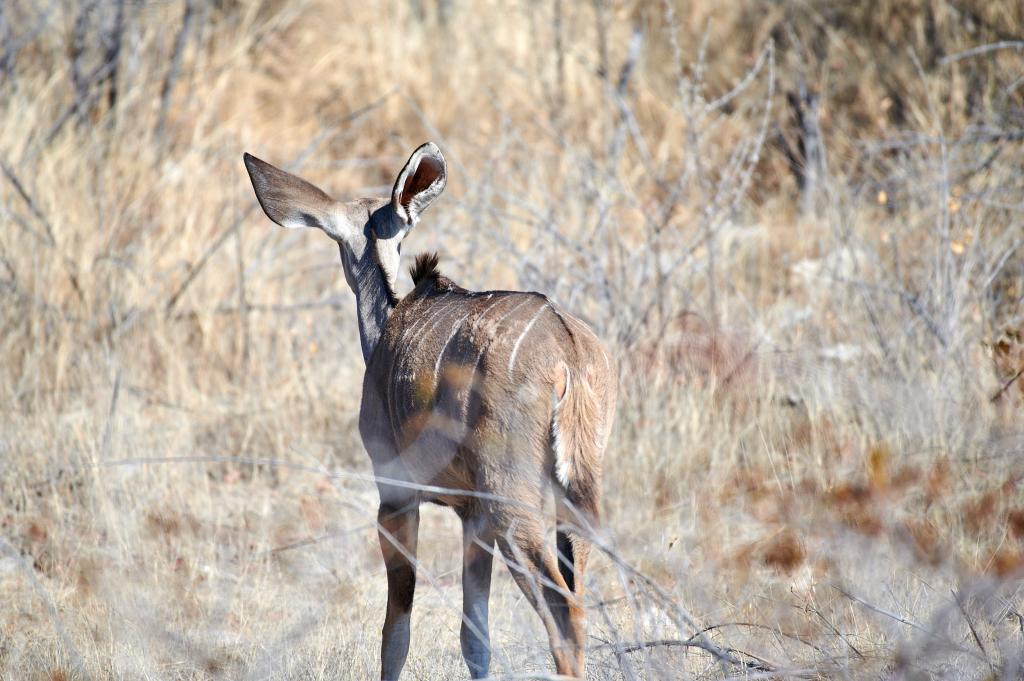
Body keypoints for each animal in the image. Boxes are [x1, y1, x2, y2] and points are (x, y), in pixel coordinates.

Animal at [243, 140, 618, 675]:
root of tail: (566, 350)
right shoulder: (472, 516)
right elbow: (475, 636)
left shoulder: (396, 492)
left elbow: (395, 632)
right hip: (575, 490)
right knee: (578, 593)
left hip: (511, 496)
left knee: (562, 609)